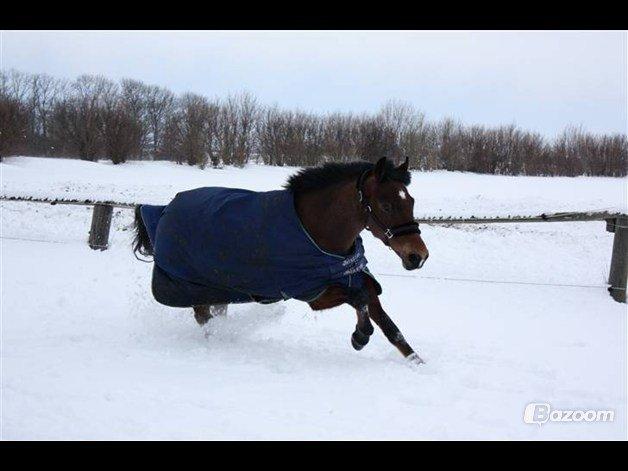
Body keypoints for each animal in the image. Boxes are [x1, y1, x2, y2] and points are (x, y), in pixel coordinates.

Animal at [131, 157, 426, 364]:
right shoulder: (315, 292)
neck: (316, 230)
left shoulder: (353, 277)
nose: (418, 256)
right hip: (197, 290)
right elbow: (359, 300)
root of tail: (166, 209)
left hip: (219, 289)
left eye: (411, 201)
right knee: (205, 321)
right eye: (386, 205)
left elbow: (389, 325)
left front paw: (418, 363)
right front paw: (359, 337)